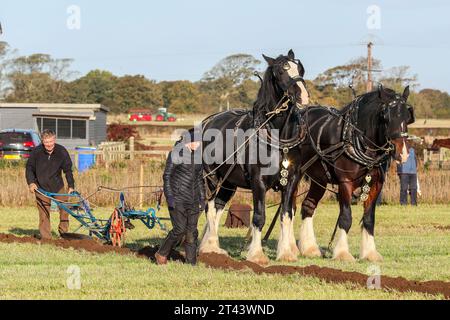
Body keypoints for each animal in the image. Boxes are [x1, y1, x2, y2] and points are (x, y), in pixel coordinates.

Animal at [200, 50, 310, 264]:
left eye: (300, 69)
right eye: (280, 72)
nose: (303, 96)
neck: (278, 137)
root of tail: (209, 121)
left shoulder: (291, 181)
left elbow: (286, 215)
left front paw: (285, 253)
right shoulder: (258, 182)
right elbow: (259, 217)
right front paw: (257, 255)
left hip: (228, 183)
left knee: (218, 208)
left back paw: (214, 247)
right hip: (212, 179)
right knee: (209, 208)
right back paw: (209, 247)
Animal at [296, 85, 414, 262]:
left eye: (408, 116)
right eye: (385, 116)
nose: (403, 153)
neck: (356, 139)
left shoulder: (376, 184)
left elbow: (369, 219)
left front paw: (370, 253)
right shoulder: (345, 183)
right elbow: (345, 218)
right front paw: (342, 253)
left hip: (319, 180)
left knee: (308, 206)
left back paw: (310, 249)